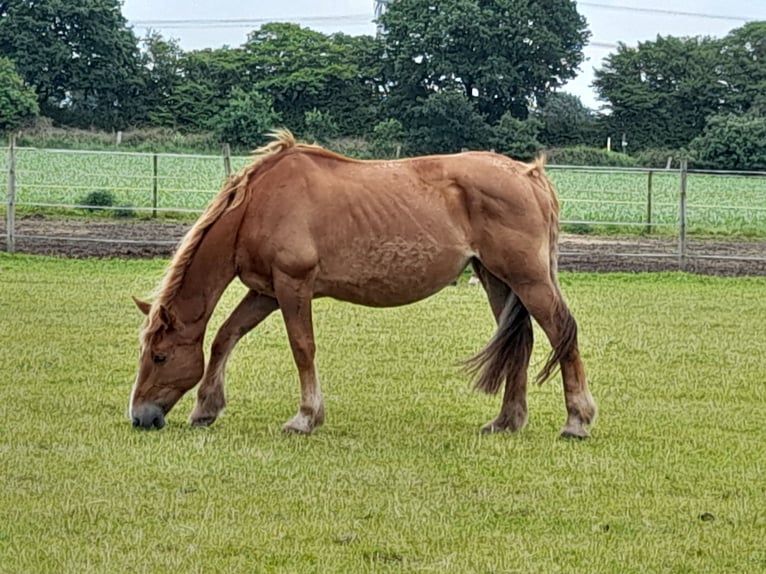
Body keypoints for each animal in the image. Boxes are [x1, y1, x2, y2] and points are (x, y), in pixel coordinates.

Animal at [129, 132, 600, 440]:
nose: (139, 416)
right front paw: (206, 407)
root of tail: (528, 174)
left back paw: (576, 421)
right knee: (521, 344)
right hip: (498, 281)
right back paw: (506, 422)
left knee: (562, 331)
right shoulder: (265, 291)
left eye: (160, 355)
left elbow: (303, 347)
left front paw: (305, 417)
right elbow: (225, 337)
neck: (257, 205)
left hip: (528, 278)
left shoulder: (292, 285)